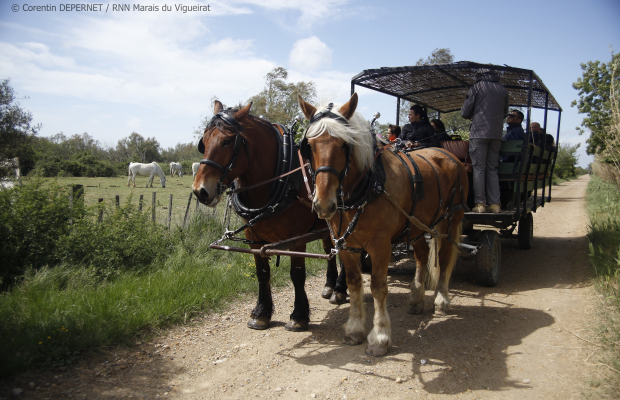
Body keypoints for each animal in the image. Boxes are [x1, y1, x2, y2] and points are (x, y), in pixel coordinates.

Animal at [193, 101, 346, 332]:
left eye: (228, 141)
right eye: (203, 142)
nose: (200, 191)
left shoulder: (296, 239)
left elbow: (297, 274)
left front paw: (299, 316)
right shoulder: (253, 237)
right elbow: (262, 272)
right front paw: (261, 313)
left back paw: (340, 289)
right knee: (330, 250)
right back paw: (330, 286)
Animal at [298, 94, 468, 356]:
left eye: (345, 144)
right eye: (309, 146)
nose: (324, 204)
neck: (369, 185)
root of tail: (449, 155)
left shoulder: (381, 245)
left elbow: (378, 287)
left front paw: (379, 337)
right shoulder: (344, 244)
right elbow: (354, 283)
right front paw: (355, 329)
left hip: (450, 220)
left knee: (445, 256)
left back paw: (441, 299)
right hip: (416, 225)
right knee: (422, 255)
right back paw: (416, 298)